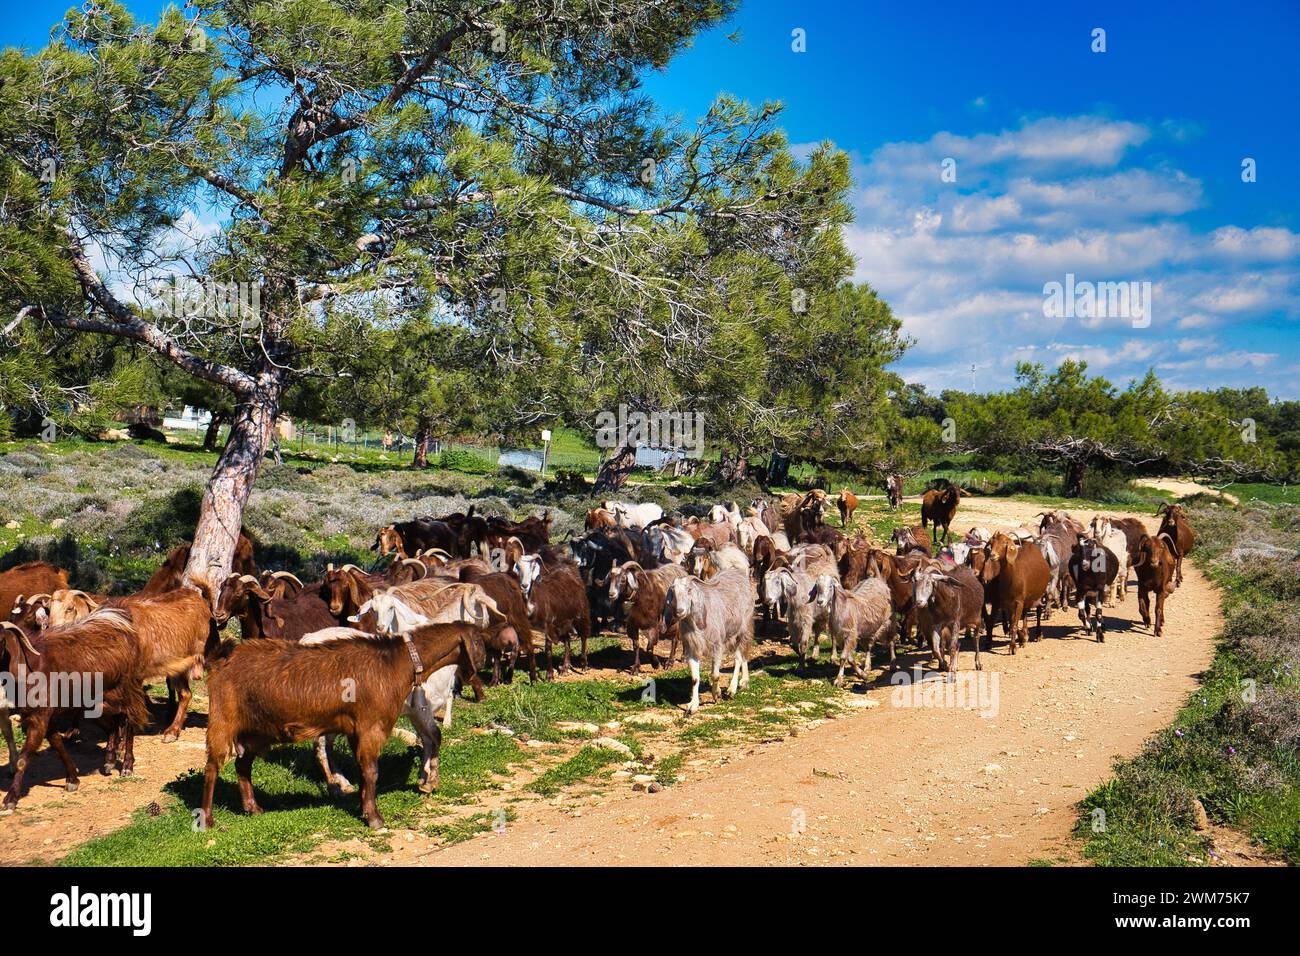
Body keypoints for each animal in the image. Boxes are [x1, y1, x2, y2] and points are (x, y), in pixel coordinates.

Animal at [660, 567, 754, 712]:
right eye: (673, 592)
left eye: (689, 590)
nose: (679, 611)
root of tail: (736, 572)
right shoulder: (692, 649)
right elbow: (695, 679)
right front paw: (693, 706)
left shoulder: (717, 645)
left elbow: (715, 675)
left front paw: (716, 694)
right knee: (743, 655)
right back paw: (744, 681)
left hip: (742, 629)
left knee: (739, 657)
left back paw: (732, 689)